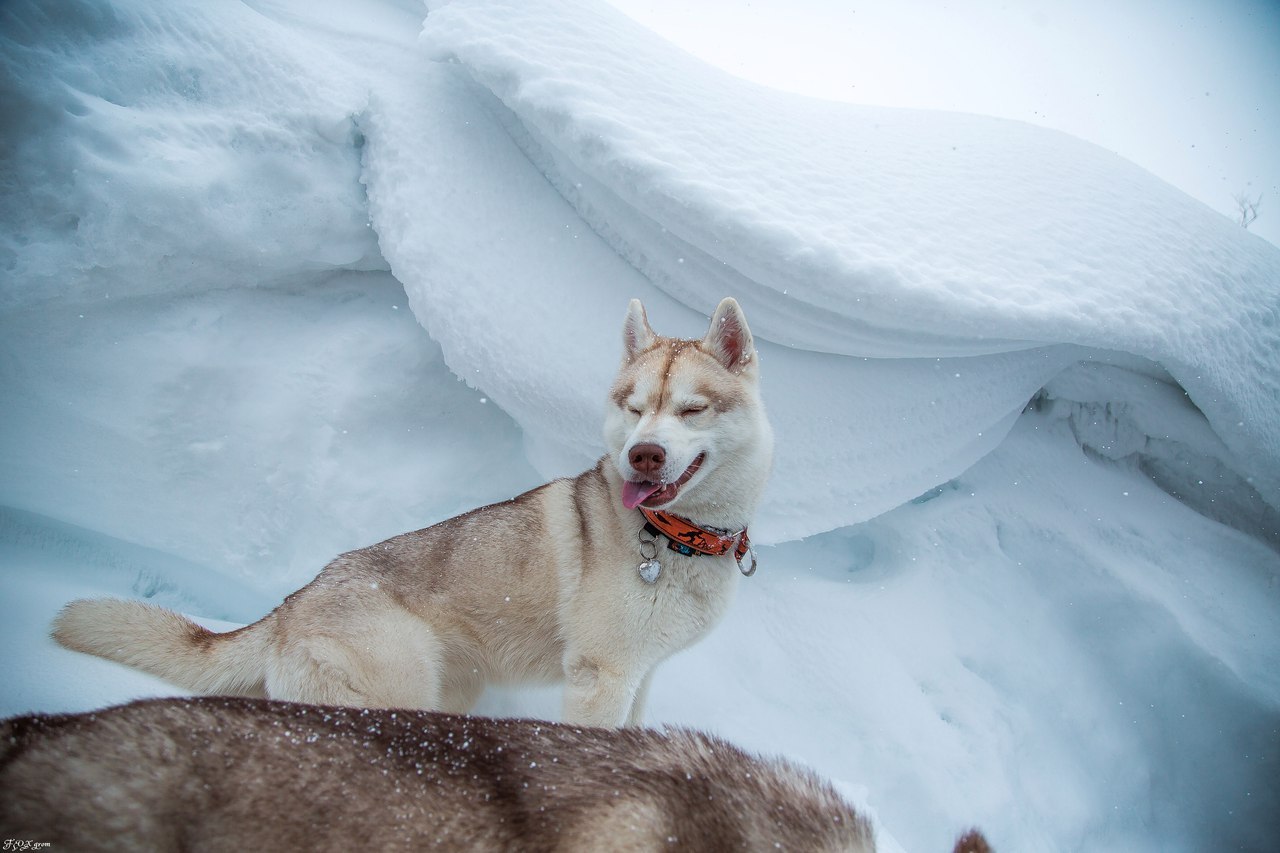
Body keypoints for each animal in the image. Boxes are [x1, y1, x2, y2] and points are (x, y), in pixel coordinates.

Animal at [49, 298, 773, 722]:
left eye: (691, 409)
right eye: (634, 406)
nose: (643, 456)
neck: (679, 537)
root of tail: (290, 605)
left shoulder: (638, 675)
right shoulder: (600, 676)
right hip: (397, 689)